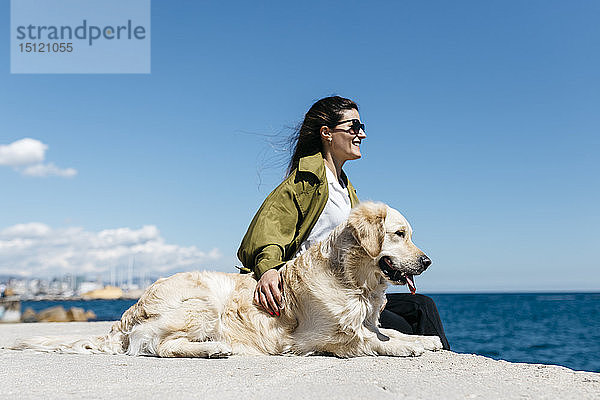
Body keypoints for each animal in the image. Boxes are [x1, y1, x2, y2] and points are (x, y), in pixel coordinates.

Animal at [8, 202, 440, 358]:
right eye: (400, 234)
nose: (427, 261)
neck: (353, 281)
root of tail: (130, 312)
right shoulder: (312, 338)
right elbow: (366, 340)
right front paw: (407, 349)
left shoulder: (366, 319)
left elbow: (386, 332)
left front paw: (424, 340)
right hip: (201, 302)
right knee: (154, 346)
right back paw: (213, 349)